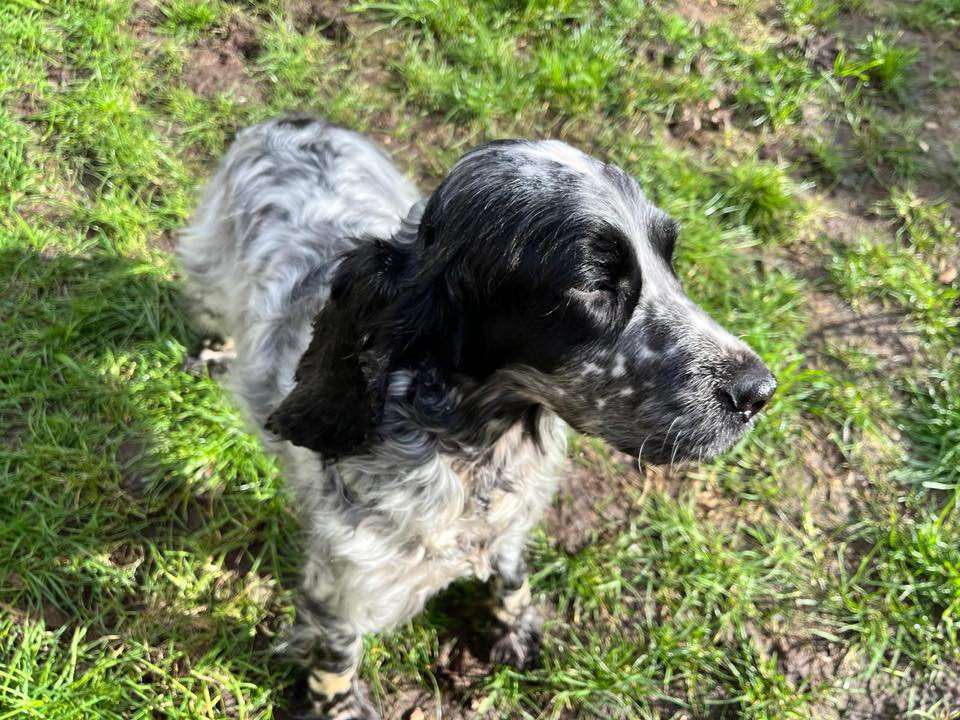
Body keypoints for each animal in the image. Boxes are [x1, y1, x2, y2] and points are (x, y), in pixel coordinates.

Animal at [179, 117, 776, 719]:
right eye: (592, 282)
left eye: (669, 259)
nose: (760, 391)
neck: (473, 446)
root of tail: (295, 119)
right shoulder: (345, 579)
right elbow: (336, 651)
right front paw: (337, 703)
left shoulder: (509, 523)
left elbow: (510, 578)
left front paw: (516, 628)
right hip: (207, 263)